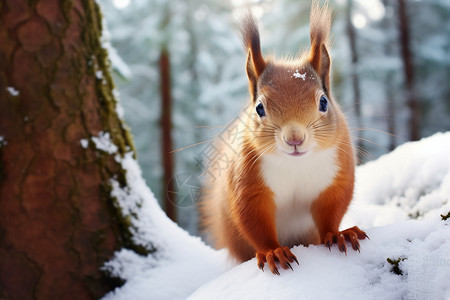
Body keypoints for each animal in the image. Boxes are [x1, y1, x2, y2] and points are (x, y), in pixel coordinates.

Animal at [200, 2, 366, 274]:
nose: (295, 138)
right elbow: (253, 221)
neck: (295, 164)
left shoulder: (337, 175)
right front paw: (273, 252)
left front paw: (338, 234)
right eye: (259, 108)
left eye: (323, 102)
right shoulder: (248, 184)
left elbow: (331, 211)